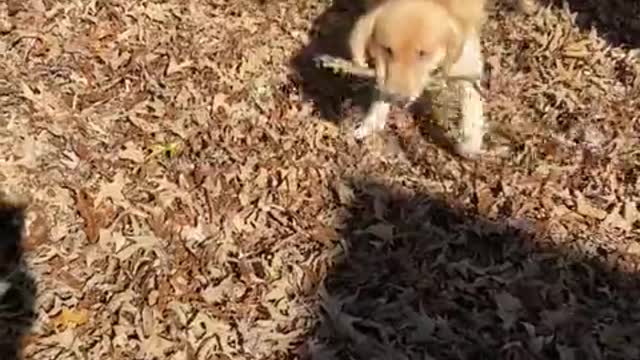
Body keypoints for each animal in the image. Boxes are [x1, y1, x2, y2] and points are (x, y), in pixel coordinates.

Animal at [350, 0, 490, 158]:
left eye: (422, 53)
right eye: (388, 50)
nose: (398, 99)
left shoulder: (466, 55)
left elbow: (470, 95)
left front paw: (470, 143)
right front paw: (372, 120)